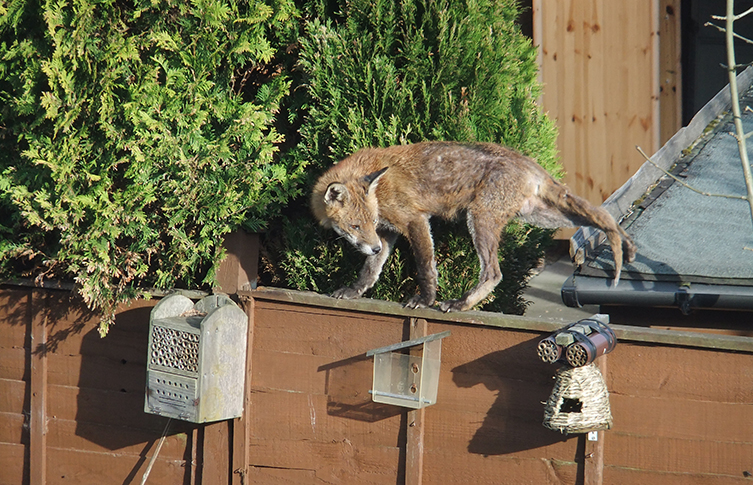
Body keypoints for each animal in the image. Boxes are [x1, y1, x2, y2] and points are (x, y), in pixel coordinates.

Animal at [311, 141, 636, 312]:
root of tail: (528, 162)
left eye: (365, 222)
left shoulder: (413, 220)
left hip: (480, 219)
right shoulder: (388, 231)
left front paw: (425, 299)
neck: (381, 193)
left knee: (494, 273)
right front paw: (355, 291)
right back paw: (627, 242)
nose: (374, 246)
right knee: (600, 216)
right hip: (544, 216)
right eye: (356, 225)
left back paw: (462, 304)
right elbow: (370, 269)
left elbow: (425, 266)